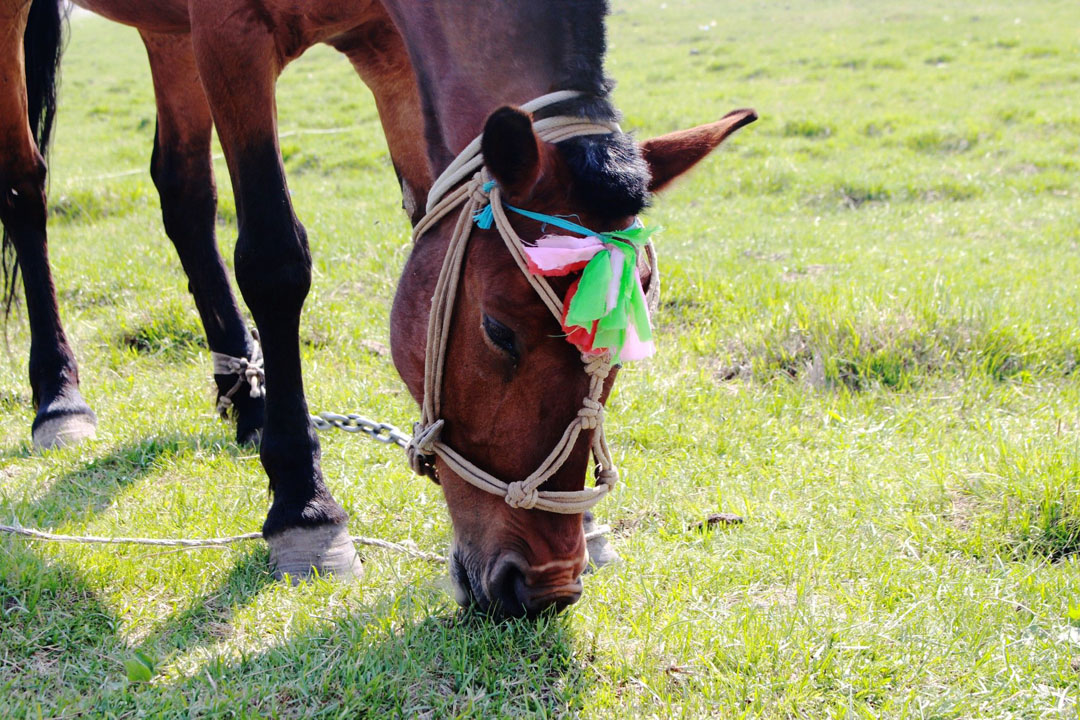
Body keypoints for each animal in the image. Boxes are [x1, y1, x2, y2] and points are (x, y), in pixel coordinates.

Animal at [4, 0, 756, 621]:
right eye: (498, 331)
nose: (544, 587)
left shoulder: (386, 47)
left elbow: (425, 200)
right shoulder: (230, 33)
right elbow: (273, 260)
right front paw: (304, 505)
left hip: (167, 33)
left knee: (183, 190)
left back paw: (244, 395)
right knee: (24, 184)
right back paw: (59, 398)